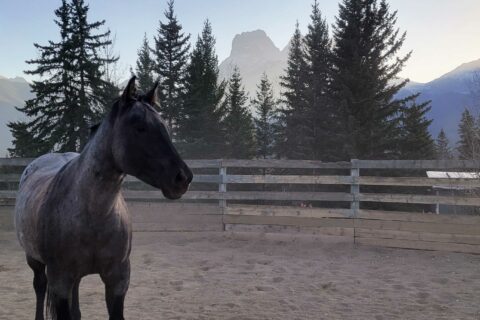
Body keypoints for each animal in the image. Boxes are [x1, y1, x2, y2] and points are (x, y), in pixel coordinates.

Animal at [14, 78, 193, 320]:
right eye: (139, 127)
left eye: (164, 126)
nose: (183, 177)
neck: (93, 214)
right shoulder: (60, 280)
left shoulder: (118, 280)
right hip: (35, 261)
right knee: (40, 286)